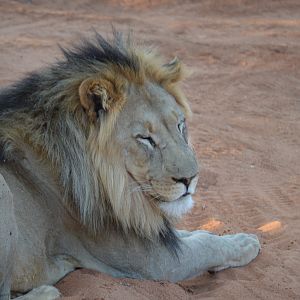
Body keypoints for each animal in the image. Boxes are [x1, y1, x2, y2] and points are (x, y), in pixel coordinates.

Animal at [0, 32, 260, 300]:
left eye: (180, 125)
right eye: (145, 138)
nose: (191, 179)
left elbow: (195, 235)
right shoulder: (156, 262)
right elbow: (206, 246)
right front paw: (244, 242)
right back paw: (47, 291)